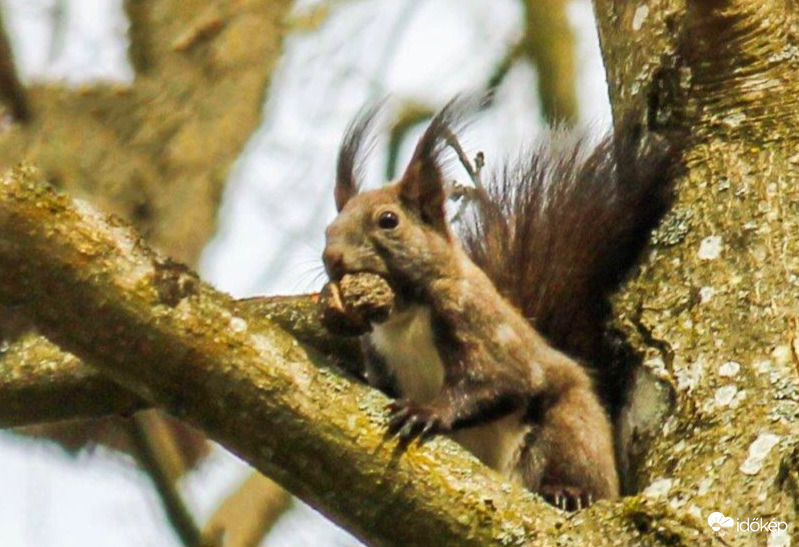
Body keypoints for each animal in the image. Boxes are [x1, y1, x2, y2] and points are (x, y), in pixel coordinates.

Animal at [318, 96, 680, 512]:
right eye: (328, 229)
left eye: (388, 220)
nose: (331, 259)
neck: (405, 316)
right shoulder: (378, 351)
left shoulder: (475, 319)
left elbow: (504, 380)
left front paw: (429, 411)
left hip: (569, 429)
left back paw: (568, 491)